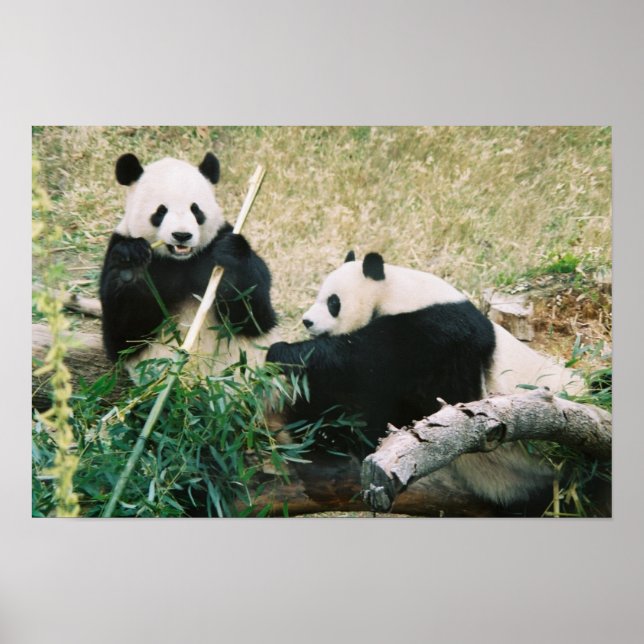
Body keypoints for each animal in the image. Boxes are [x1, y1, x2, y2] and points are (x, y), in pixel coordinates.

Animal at [100, 152, 277, 379]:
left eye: (196, 209)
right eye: (161, 211)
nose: (182, 235)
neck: (181, 261)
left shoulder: (216, 241)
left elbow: (255, 316)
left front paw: (230, 255)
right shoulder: (120, 244)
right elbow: (125, 335)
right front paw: (131, 265)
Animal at [266, 251, 585, 506]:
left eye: (333, 302)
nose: (307, 321)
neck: (398, 291)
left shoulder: (434, 333)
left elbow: (367, 367)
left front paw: (283, 351)